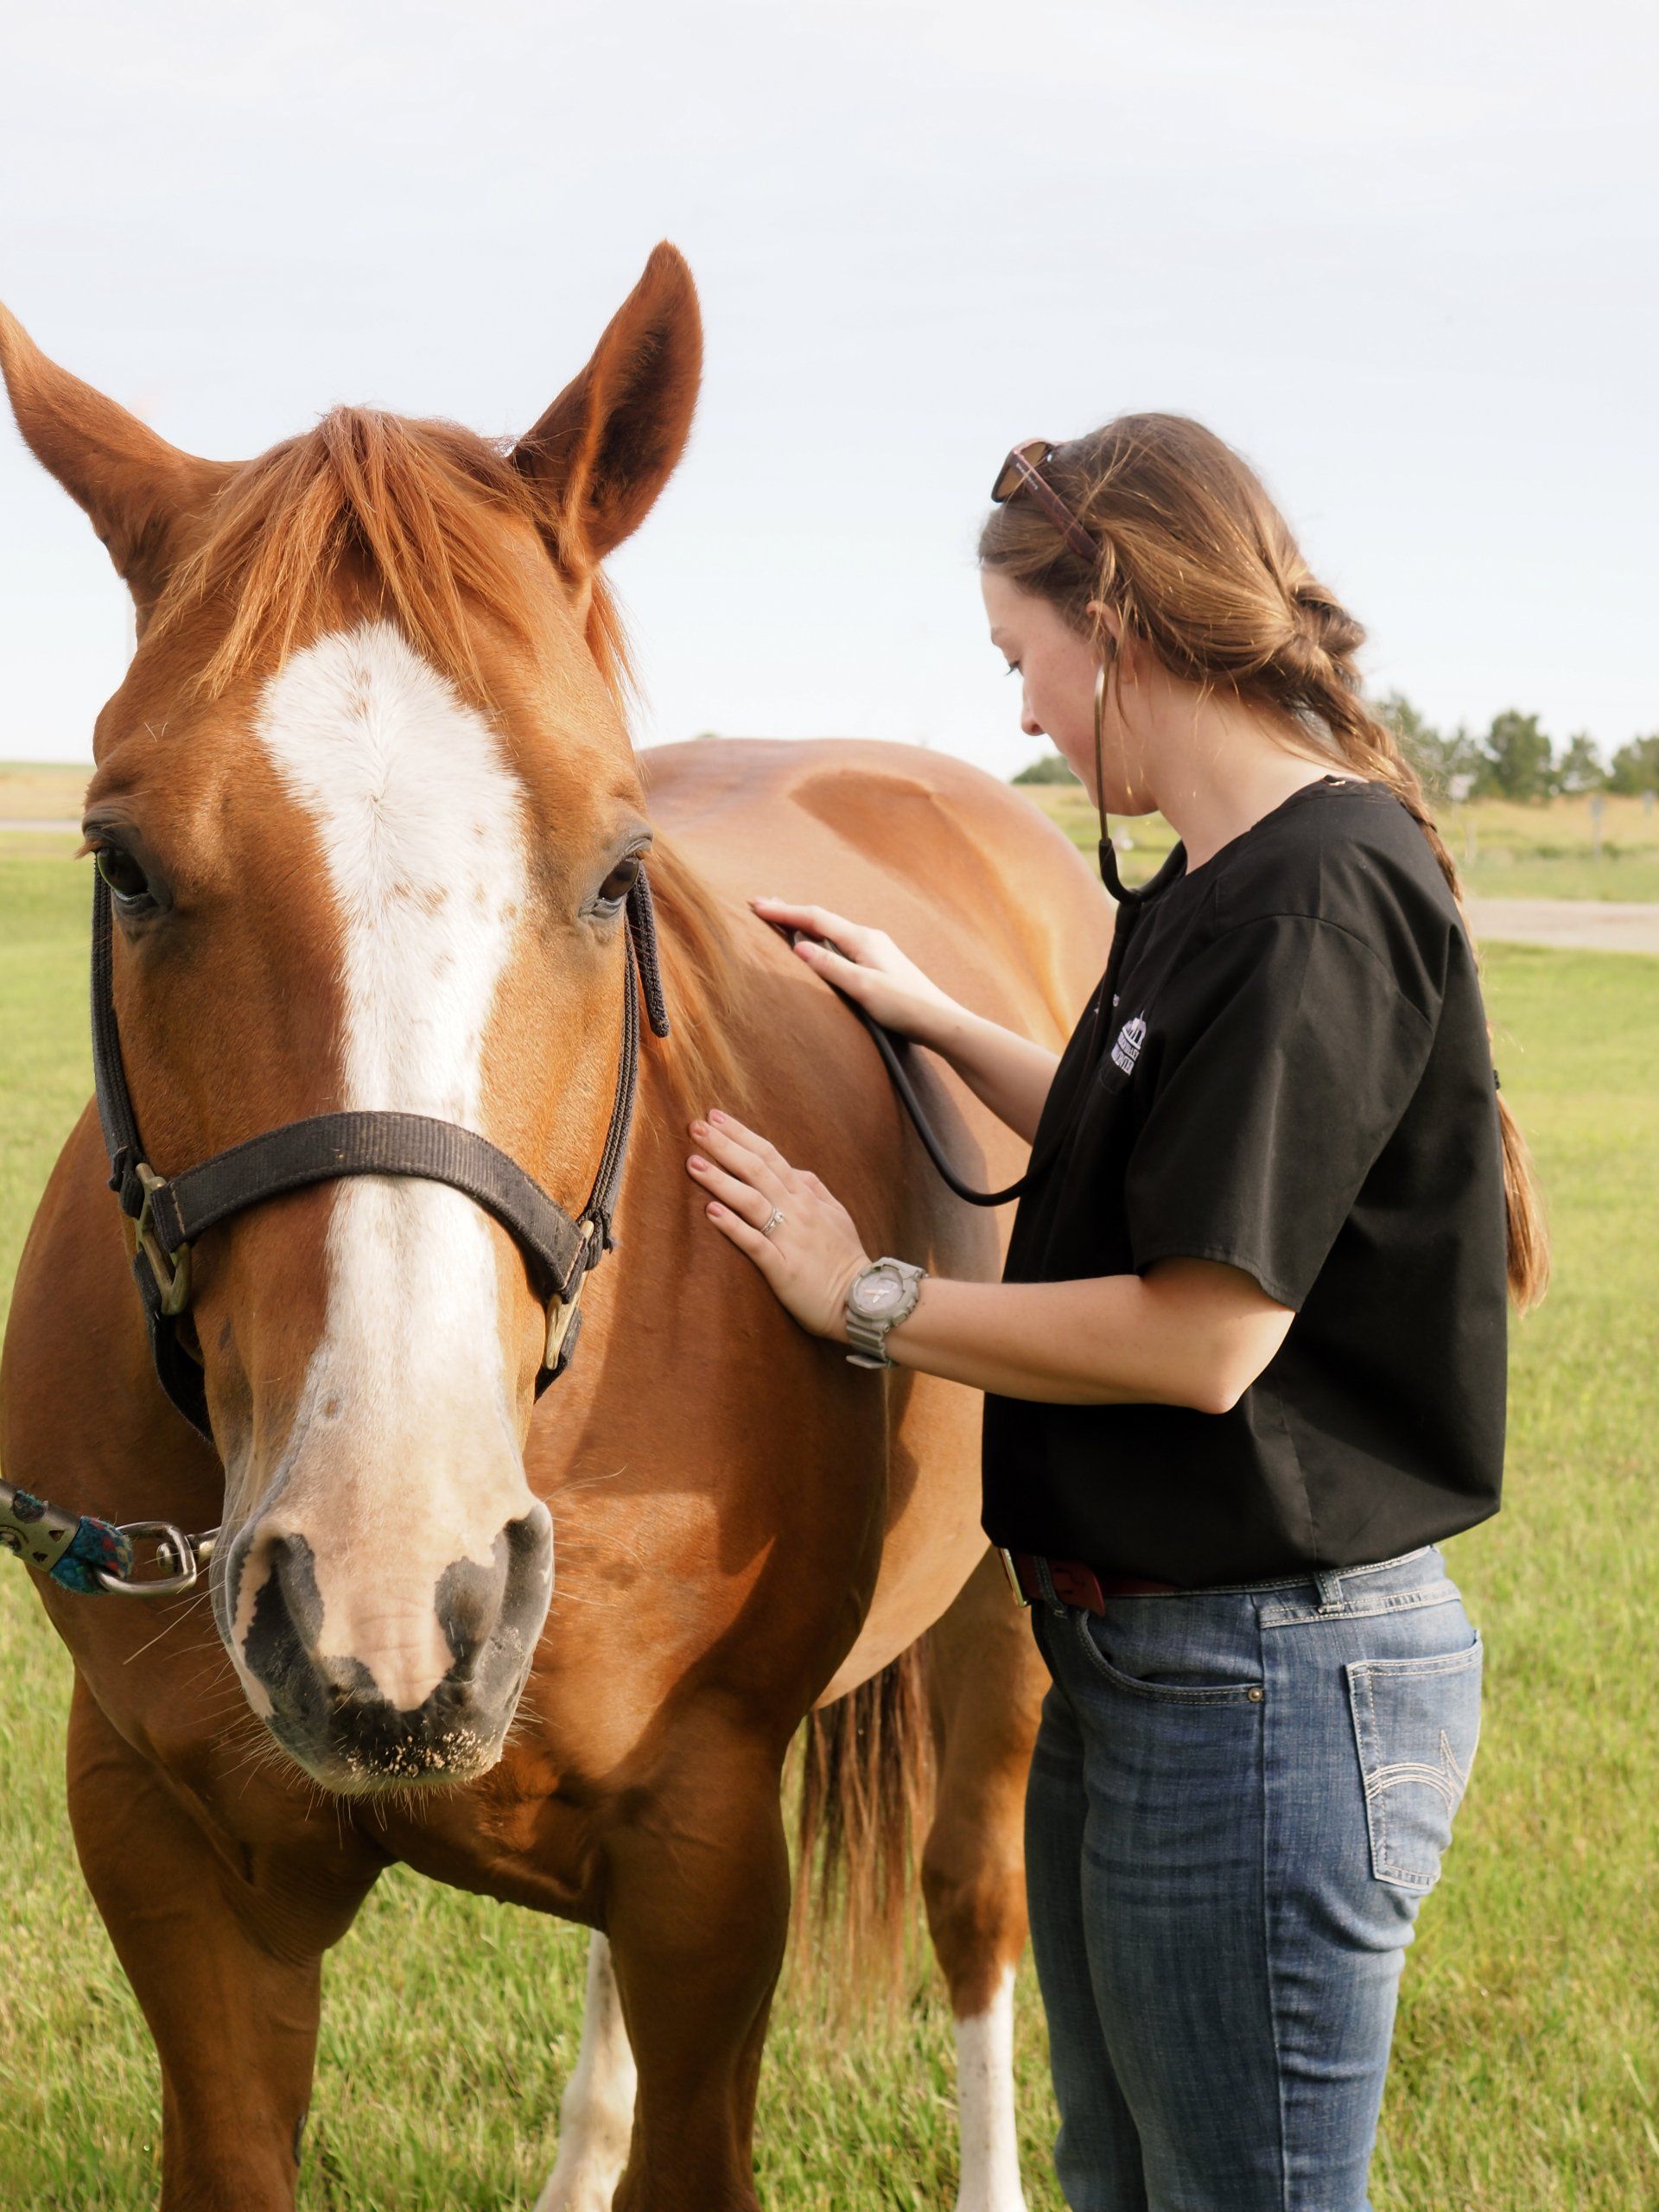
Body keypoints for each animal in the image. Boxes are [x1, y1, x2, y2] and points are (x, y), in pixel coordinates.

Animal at [0, 244, 1107, 2212]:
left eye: (616, 868)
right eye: (121, 861)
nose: (388, 1588)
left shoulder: (710, 1863)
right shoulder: (171, 1857)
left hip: (999, 1627)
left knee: (976, 1904)